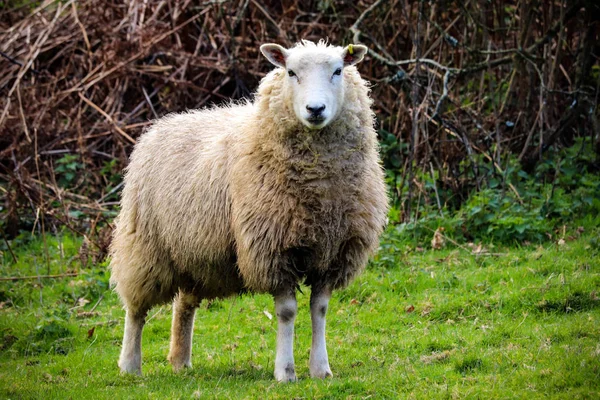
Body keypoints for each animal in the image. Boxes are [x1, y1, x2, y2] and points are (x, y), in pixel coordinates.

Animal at [109, 39, 390, 382]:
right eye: (290, 72)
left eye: (338, 70)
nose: (315, 110)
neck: (320, 187)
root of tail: (163, 124)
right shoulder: (272, 249)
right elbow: (287, 312)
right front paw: (285, 371)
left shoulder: (334, 252)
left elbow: (320, 309)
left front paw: (321, 369)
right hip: (145, 245)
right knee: (135, 308)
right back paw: (129, 365)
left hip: (193, 252)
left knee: (183, 304)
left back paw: (180, 360)